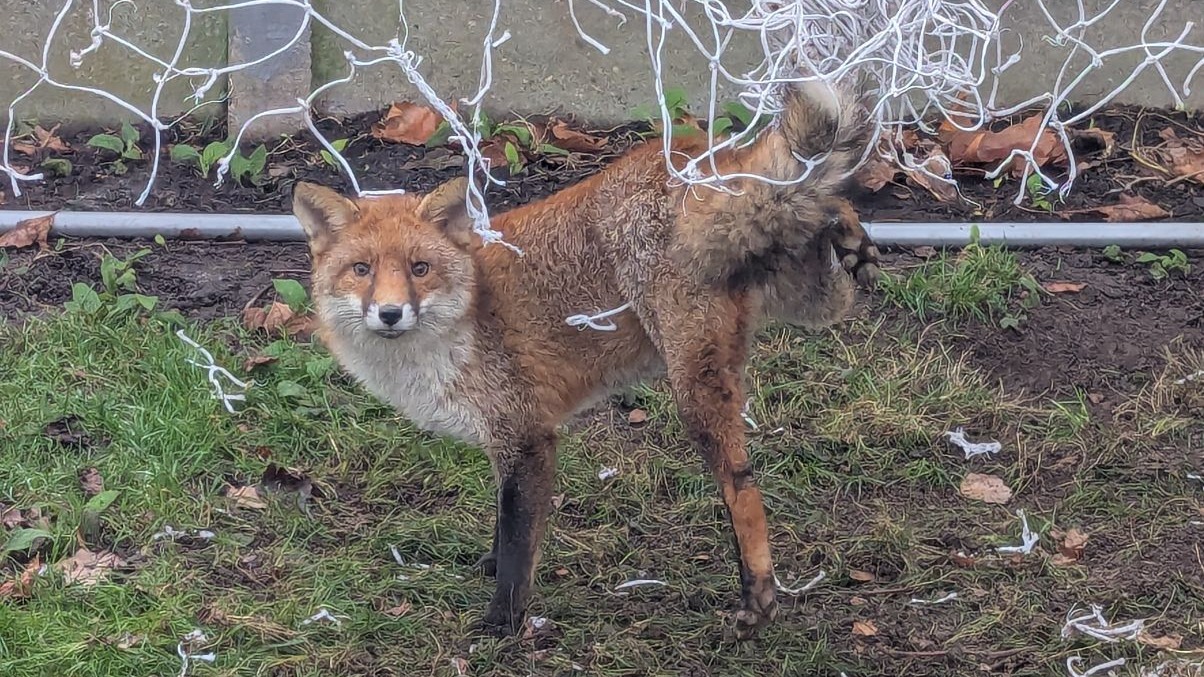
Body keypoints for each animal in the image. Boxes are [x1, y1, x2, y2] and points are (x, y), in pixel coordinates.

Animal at [292, 79, 880, 640]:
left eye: (419, 269)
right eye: (362, 270)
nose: (390, 314)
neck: (461, 324)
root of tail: (687, 157)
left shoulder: (527, 437)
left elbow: (518, 548)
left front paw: (502, 624)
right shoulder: (504, 442)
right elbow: (504, 527)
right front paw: (489, 567)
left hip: (694, 388)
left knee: (743, 488)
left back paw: (758, 596)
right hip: (809, 301)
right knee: (821, 213)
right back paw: (851, 235)